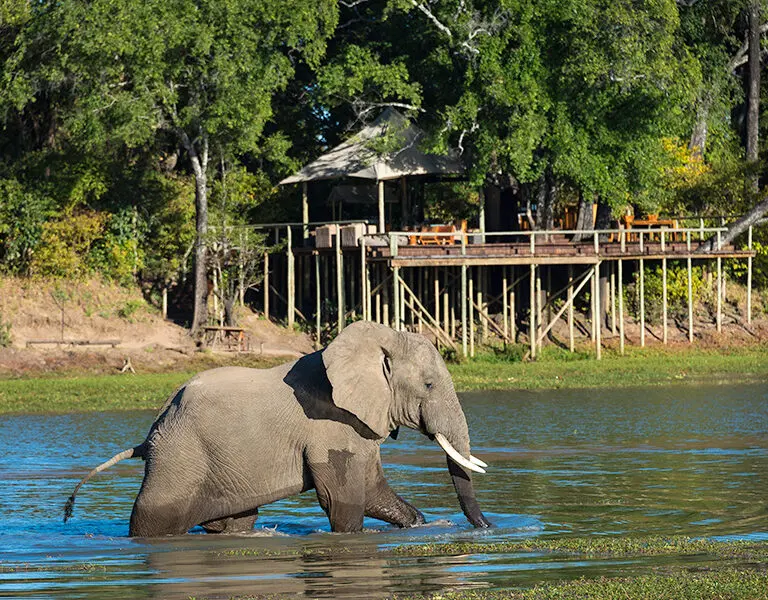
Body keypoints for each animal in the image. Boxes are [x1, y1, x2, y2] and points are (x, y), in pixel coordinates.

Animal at [64, 321, 491, 536]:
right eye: (429, 385)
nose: (486, 529)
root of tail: (150, 433)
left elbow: (372, 492)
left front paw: (420, 525)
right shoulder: (329, 428)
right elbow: (343, 501)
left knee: (235, 522)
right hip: (177, 459)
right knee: (152, 520)